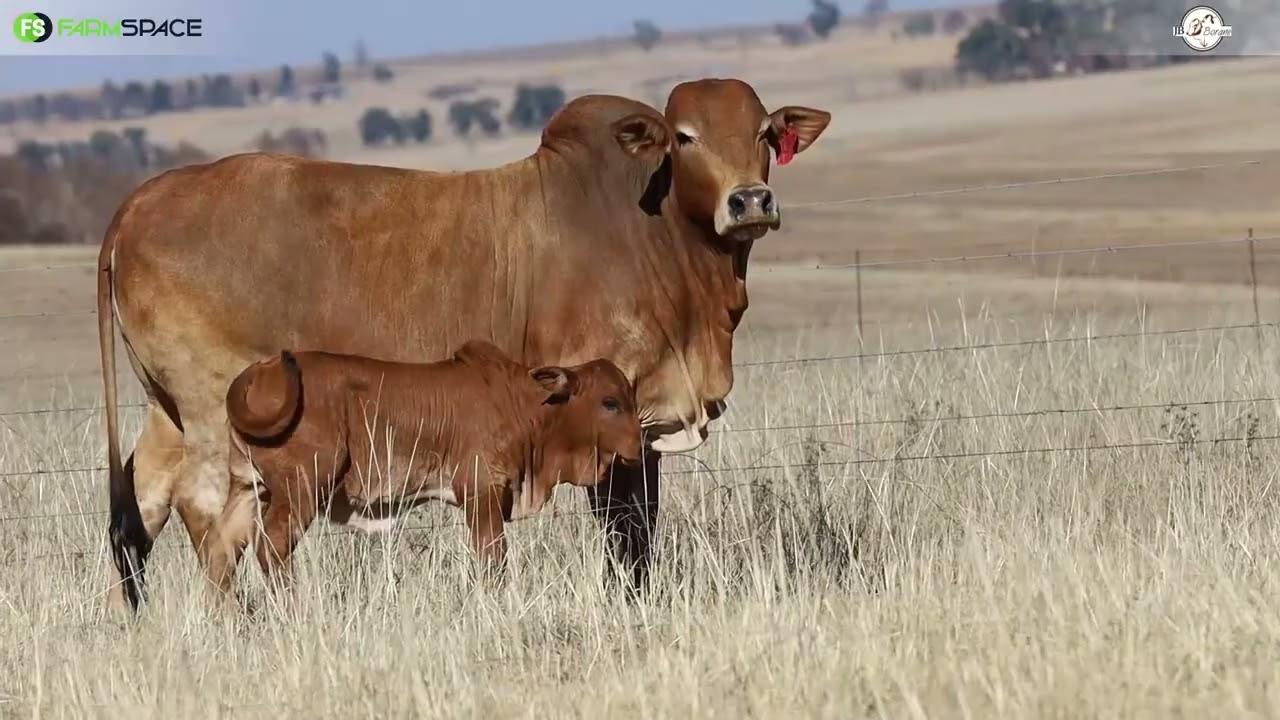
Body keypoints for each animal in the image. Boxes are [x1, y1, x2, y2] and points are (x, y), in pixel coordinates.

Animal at [205, 341, 642, 598]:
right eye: (610, 403)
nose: (639, 446)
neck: (527, 407)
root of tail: (261, 369)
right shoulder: (481, 491)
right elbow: (493, 559)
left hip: (248, 487)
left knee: (219, 548)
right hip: (301, 487)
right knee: (272, 545)